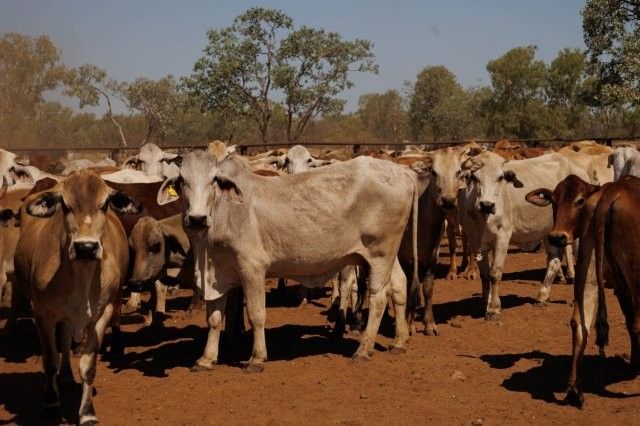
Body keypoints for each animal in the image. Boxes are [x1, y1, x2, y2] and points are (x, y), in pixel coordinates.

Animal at [14, 170, 141, 424]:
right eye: (65, 205)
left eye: (104, 204)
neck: (82, 273)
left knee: (64, 341)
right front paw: (51, 400)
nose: (86, 247)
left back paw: (66, 377)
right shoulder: (43, 314)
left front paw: (87, 413)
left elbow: (88, 366)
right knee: (60, 346)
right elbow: (50, 359)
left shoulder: (101, 315)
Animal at [156, 151, 420, 371]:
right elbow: (213, 318)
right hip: (387, 255)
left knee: (379, 297)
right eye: (181, 180)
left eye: (213, 180)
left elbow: (256, 314)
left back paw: (363, 349)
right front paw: (206, 359)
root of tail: (404, 173)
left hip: (379, 255)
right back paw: (398, 341)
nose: (197, 218)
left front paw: (256, 358)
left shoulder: (252, 268)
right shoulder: (217, 273)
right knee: (399, 285)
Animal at [458, 152, 591, 320]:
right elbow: (485, 275)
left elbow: (495, 273)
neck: (482, 217)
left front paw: (494, 308)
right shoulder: (475, 243)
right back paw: (542, 297)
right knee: (554, 259)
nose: (487, 205)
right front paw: (484, 303)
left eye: (500, 177)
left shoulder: (502, 238)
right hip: (548, 232)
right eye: (474, 177)